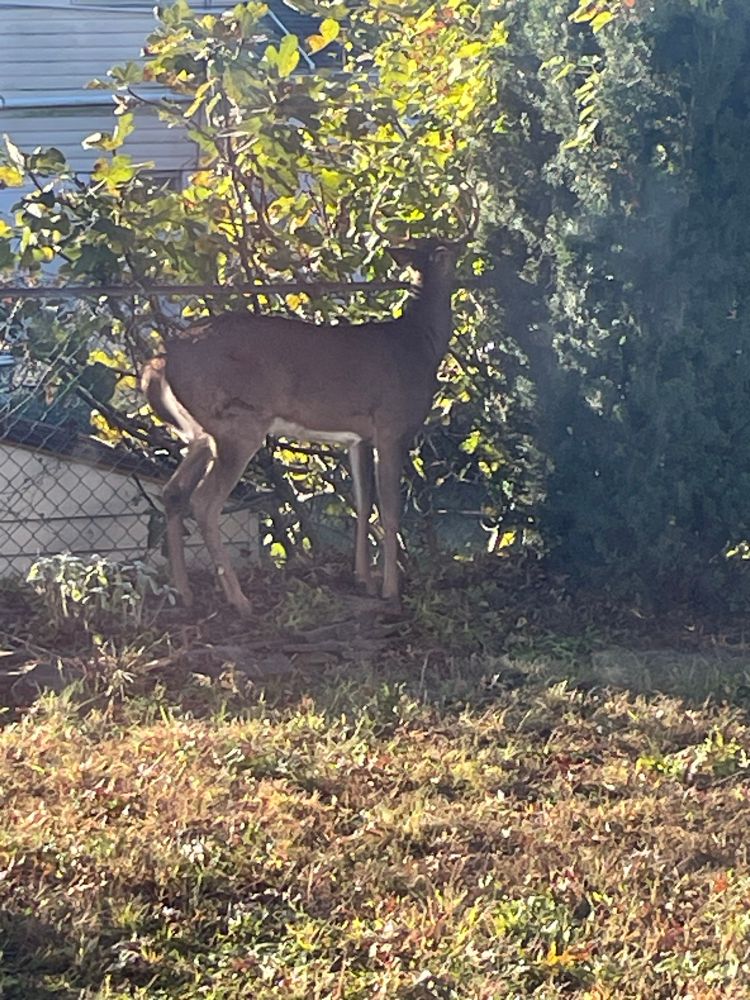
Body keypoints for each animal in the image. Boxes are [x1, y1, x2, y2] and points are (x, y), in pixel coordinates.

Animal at [141, 197, 476, 616]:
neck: (417, 344)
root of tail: (162, 359)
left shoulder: (358, 436)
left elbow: (362, 503)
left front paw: (364, 580)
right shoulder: (390, 425)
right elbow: (390, 508)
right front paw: (390, 590)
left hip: (201, 431)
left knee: (173, 493)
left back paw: (185, 594)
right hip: (238, 425)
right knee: (204, 501)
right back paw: (239, 600)